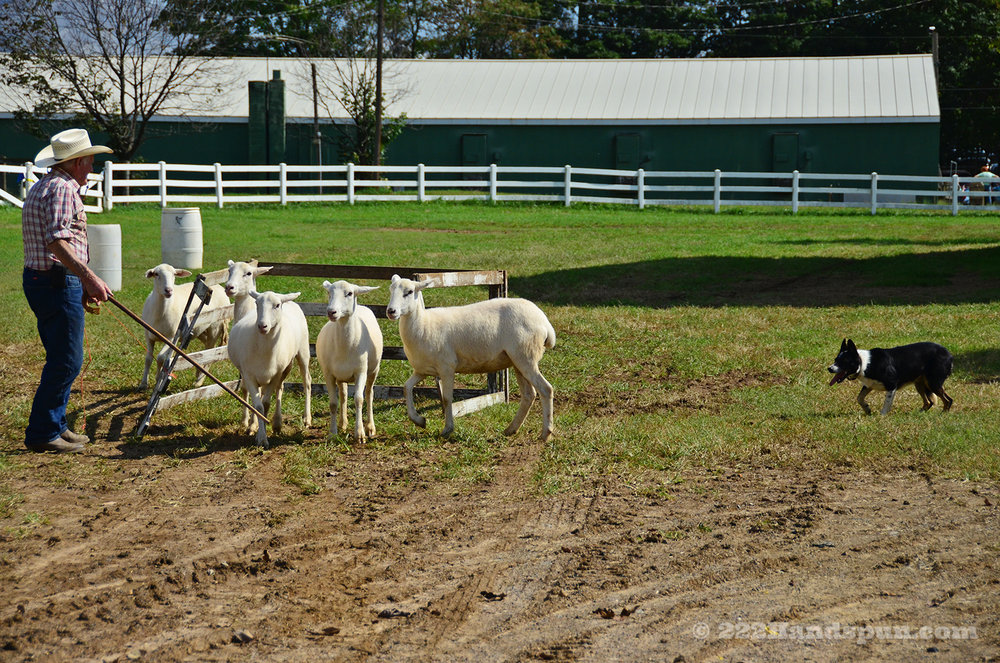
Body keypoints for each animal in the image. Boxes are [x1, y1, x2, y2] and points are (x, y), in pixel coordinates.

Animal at [228, 292, 312, 452]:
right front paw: (260, 435)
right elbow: (259, 406)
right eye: (257, 303)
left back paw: (305, 419)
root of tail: (288, 300)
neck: (264, 348)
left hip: (302, 352)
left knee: (306, 383)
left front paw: (262, 436)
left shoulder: (275, 375)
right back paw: (266, 423)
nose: (262, 326)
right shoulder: (249, 375)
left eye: (277, 305)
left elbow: (265, 404)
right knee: (277, 388)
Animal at [318, 278, 384, 440]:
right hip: (341, 376)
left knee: (369, 394)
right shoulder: (329, 374)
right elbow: (333, 403)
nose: (331, 312)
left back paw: (370, 427)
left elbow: (359, 399)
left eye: (349, 293)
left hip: (374, 370)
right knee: (343, 394)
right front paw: (332, 433)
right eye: (329, 293)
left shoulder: (360, 371)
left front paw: (359, 433)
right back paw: (343, 423)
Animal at [384, 274, 560, 440]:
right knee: (529, 395)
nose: (391, 311)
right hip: (518, 360)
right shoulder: (423, 370)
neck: (424, 324)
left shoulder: (447, 367)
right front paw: (419, 420)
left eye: (409, 292)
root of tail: (544, 321)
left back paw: (546, 433)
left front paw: (447, 429)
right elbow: (406, 388)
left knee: (545, 389)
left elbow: (447, 399)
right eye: (390, 290)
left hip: (526, 357)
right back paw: (511, 429)